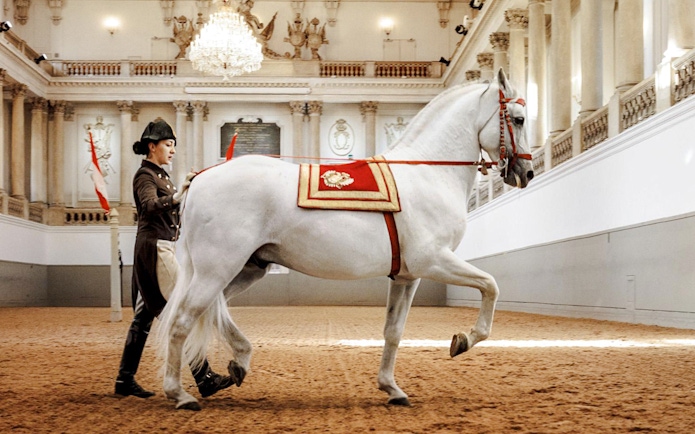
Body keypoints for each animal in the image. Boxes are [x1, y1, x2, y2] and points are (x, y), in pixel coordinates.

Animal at [157, 68, 534, 411]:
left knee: (212, 311)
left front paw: (391, 388)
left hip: (247, 269)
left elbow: (393, 331)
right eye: (518, 119)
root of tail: (201, 177)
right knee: (182, 320)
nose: (526, 173)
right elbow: (490, 285)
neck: (426, 171)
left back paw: (236, 363)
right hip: (217, 269)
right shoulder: (434, 261)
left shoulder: (407, 276)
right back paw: (180, 393)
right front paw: (463, 340)